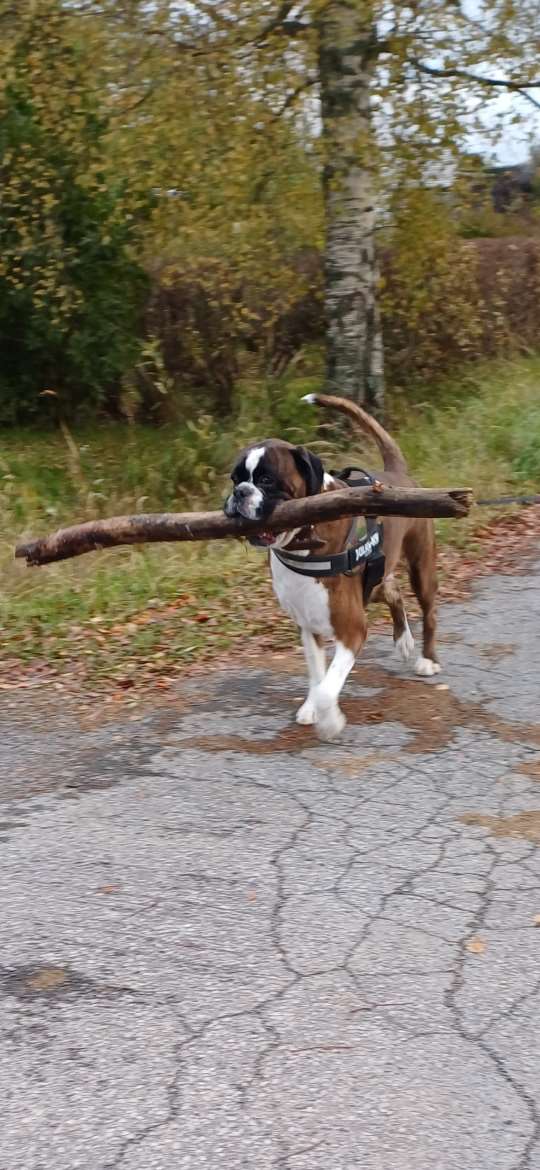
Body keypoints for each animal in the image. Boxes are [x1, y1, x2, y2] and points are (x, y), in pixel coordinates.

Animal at [224, 393, 439, 740]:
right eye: (235, 479)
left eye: (267, 480)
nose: (239, 492)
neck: (304, 537)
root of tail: (396, 473)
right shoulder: (308, 625)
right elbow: (317, 676)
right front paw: (311, 708)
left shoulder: (353, 628)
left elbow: (327, 689)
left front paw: (330, 721)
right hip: (374, 583)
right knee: (393, 592)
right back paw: (403, 640)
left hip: (421, 566)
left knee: (428, 609)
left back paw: (428, 660)